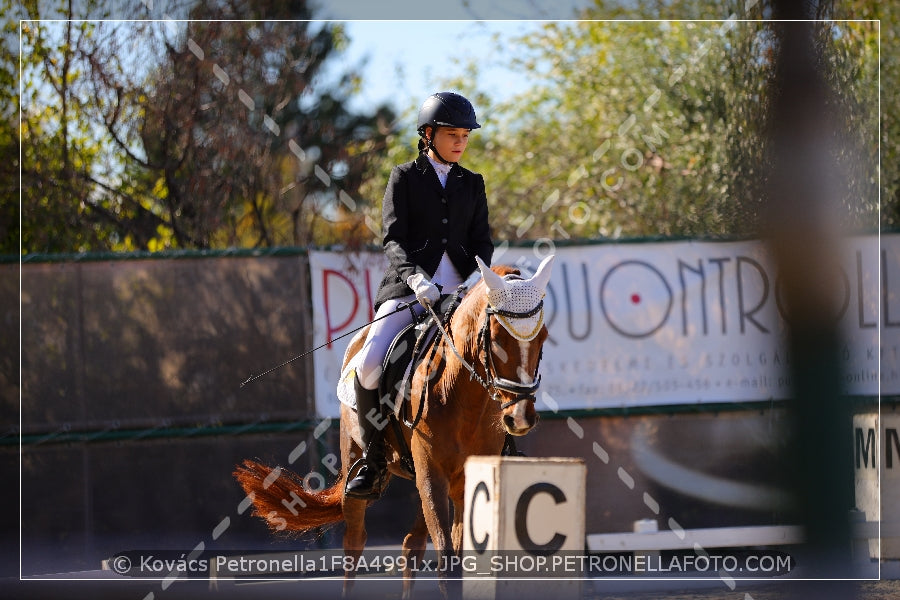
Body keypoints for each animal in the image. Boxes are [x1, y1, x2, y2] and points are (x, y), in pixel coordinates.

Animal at [236, 254, 552, 600]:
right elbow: (448, 568)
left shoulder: (461, 479)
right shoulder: (432, 473)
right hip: (356, 457)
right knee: (355, 542)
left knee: (411, 545)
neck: (460, 392)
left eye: (543, 338)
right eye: (495, 339)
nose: (520, 417)